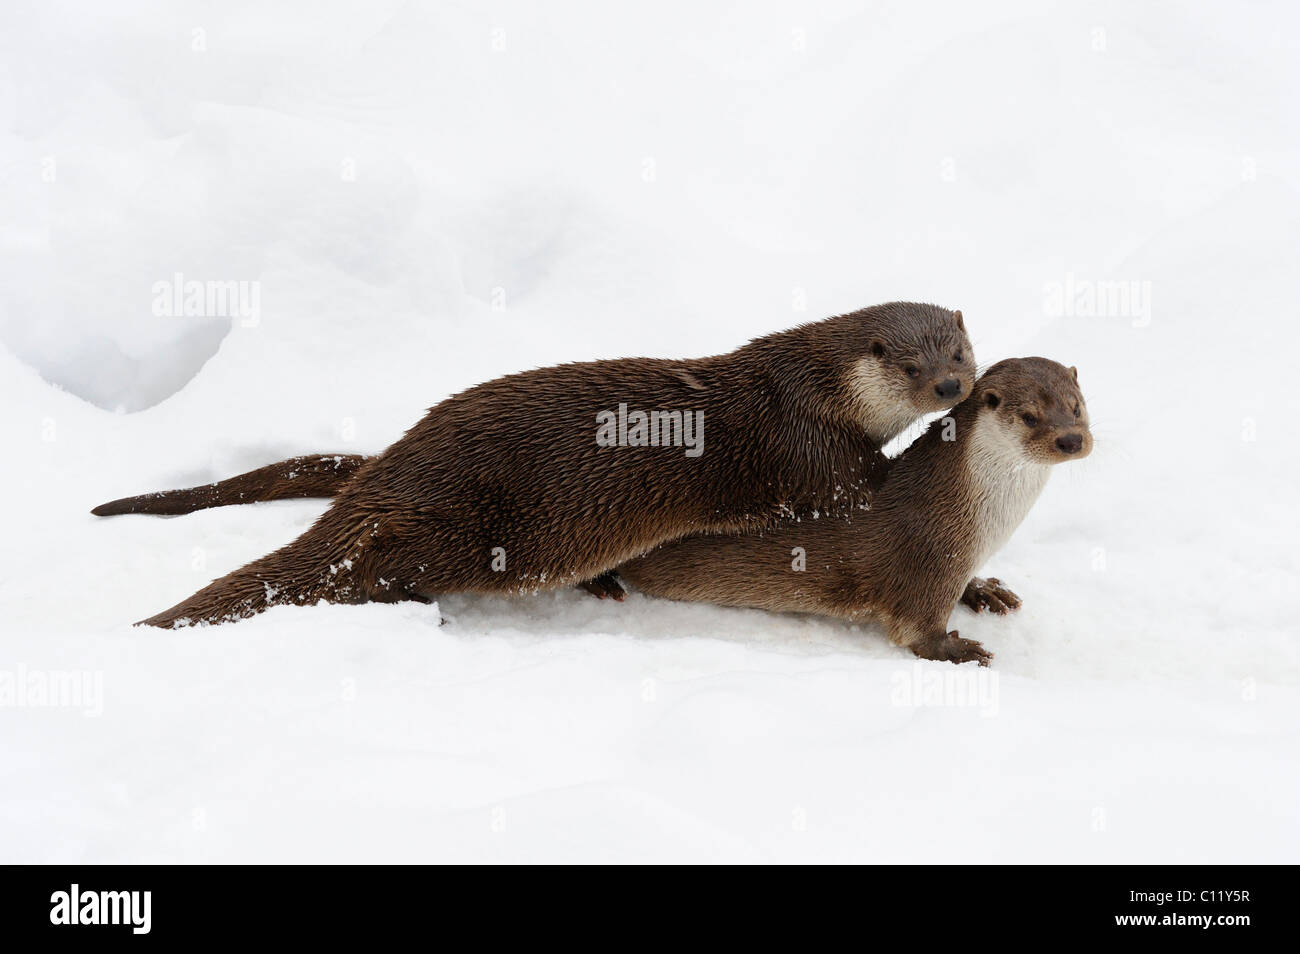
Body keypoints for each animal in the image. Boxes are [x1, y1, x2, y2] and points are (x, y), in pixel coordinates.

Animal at [106, 304, 972, 629]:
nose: (953, 388)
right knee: (376, 563)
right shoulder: (809, 446)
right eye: (913, 367)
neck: (815, 387)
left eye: (959, 353)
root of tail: (393, 471)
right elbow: (860, 487)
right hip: (471, 528)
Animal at [613, 356, 1092, 665]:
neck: (982, 519)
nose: (1071, 439)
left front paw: (985, 590)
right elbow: (917, 632)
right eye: (1029, 416)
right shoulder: (929, 563)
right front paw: (958, 650)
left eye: (1076, 406)